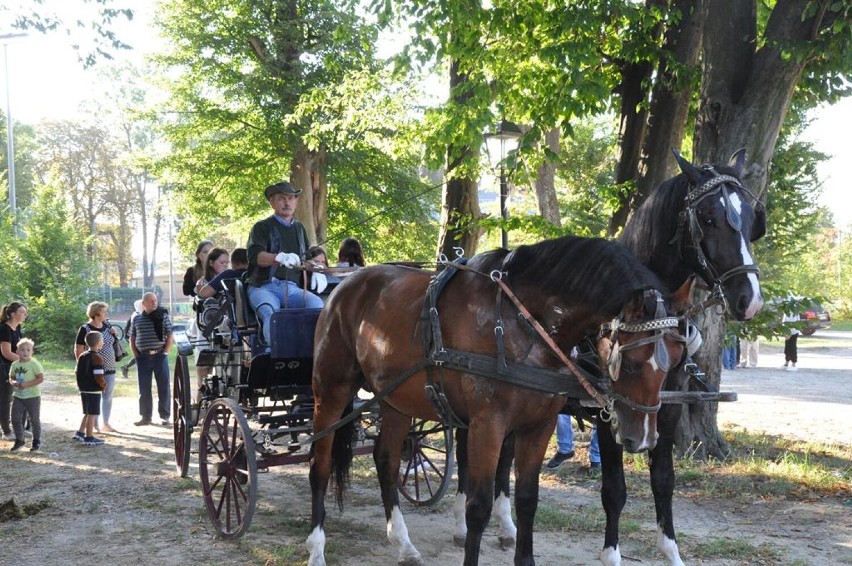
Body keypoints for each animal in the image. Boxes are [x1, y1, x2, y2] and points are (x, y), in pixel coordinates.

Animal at [302, 237, 688, 564]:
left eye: (675, 356)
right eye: (632, 362)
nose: (643, 438)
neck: (523, 323)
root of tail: (348, 285)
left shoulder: (539, 425)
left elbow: (527, 499)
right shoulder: (488, 425)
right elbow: (479, 507)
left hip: (396, 400)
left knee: (386, 460)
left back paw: (402, 542)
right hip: (331, 391)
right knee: (320, 465)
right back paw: (316, 547)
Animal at [452, 149, 764, 564]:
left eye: (751, 220)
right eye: (708, 217)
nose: (750, 298)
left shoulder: (665, 409)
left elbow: (664, 481)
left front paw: (671, 551)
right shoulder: (610, 411)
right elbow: (614, 490)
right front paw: (611, 554)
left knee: (504, 458)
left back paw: (505, 526)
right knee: (462, 449)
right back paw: (460, 521)